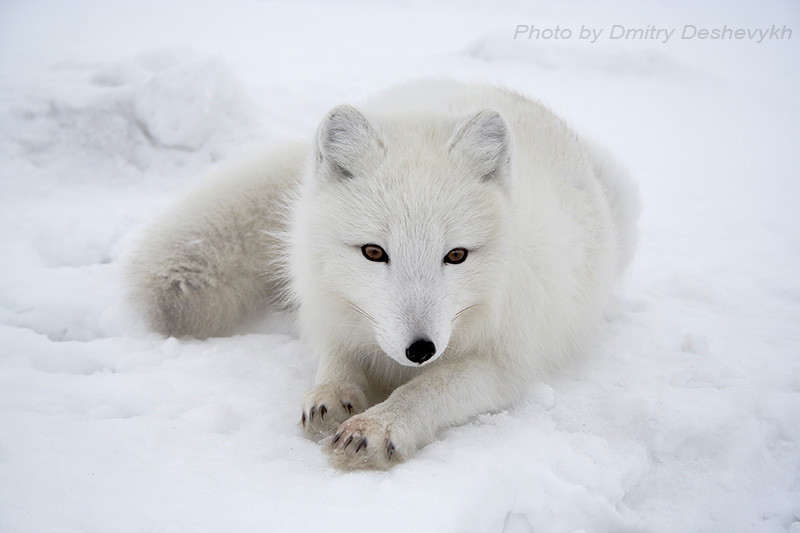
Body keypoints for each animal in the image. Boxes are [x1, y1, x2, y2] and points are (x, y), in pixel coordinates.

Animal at [128, 79, 640, 466]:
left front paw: (378, 427)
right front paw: (330, 395)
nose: (420, 349)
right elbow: (336, 358)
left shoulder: (505, 362)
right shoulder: (331, 309)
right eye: (374, 252)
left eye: (457, 255)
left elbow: (431, 389)